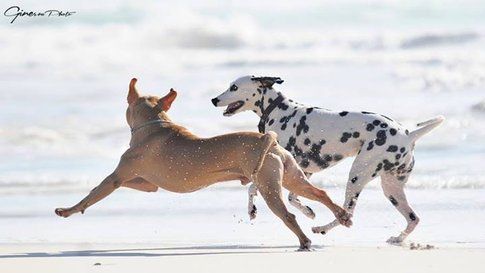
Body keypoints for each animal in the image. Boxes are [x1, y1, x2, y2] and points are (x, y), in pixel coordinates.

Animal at [54, 78, 350, 249]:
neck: (154, 124)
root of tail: (270, 139)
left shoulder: (116, 177)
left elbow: (93, 193)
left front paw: (69, 210)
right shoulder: (146, 184)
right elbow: (134, 186)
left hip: (268, 186)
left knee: (288, 214)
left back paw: (304, 240)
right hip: (291, 176)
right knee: (319, 193)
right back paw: (342, 216)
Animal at [210, 75, 444, 243]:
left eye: (234, 87)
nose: (214, 100)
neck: (280, 111)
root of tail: (408, 134)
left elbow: (253, 189)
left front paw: (252, 210)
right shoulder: (303, 171)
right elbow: (293, 198)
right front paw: (308, 211)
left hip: (357, 175)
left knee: (348, 212)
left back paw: (323, 228)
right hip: (391, 188)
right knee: (413, 218)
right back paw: (398, 238)